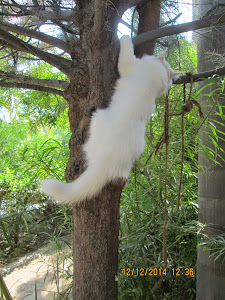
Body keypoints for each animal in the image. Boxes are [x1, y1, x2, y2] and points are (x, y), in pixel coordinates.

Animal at [41, 35, 180, 204]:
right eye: (171, 80)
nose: (172, 81)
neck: (157, 75)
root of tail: (109, 158)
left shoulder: (129, 64)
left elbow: (126, 48)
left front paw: (124, 35)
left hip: (97, 118)